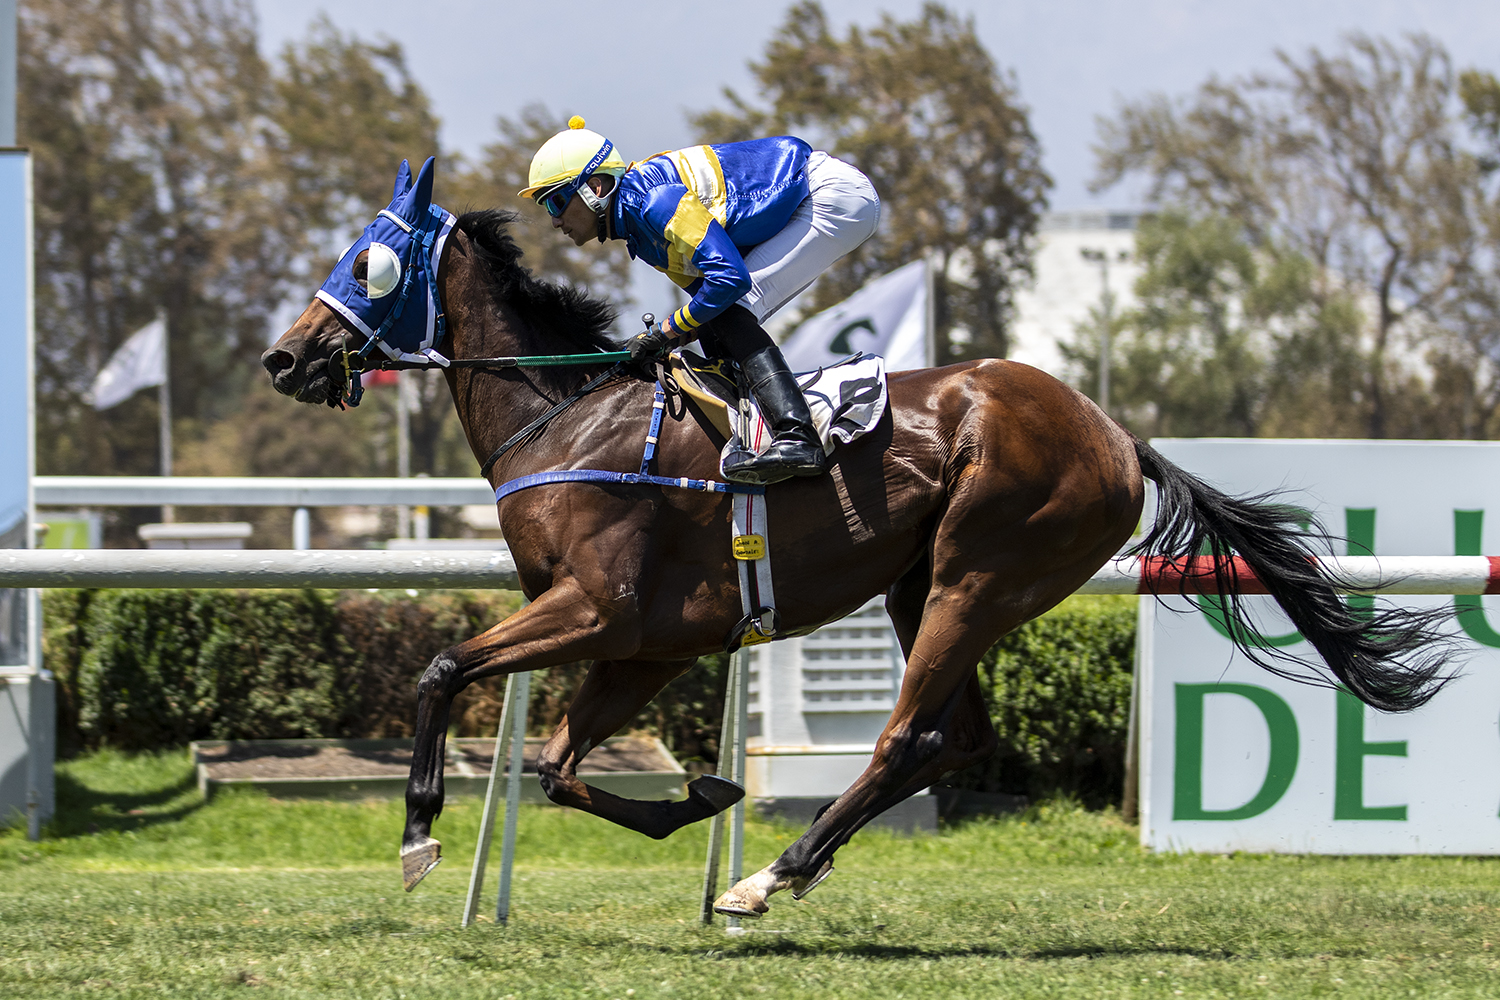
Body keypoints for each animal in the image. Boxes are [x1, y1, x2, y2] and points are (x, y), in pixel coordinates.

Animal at [262, 161, 1451, 918]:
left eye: (367, 260)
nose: (285, 359)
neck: (567, 417)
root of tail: (1119, 434)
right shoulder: (649, 643)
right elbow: (554, 768)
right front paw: (702, 796)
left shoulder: (598, 609)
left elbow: (442, 665)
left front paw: (419, 833)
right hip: (923, 587)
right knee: (955, 736)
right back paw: (778, 865)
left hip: (982, 570)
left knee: (906, 737)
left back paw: (770, 878)